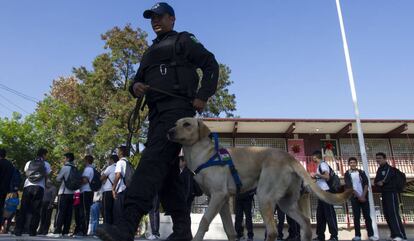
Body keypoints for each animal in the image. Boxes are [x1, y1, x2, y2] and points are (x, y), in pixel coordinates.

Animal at [167, 118, 350, 241]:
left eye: (187, 124)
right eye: (175, 123)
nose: (169, 131)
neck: (203, 155)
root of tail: (289, 156)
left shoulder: (218, 195)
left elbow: (204, 221)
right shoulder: (222, 201)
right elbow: (229, 230)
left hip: (264, 196)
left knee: (274, 231)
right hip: (285, 203)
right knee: (305, 222)